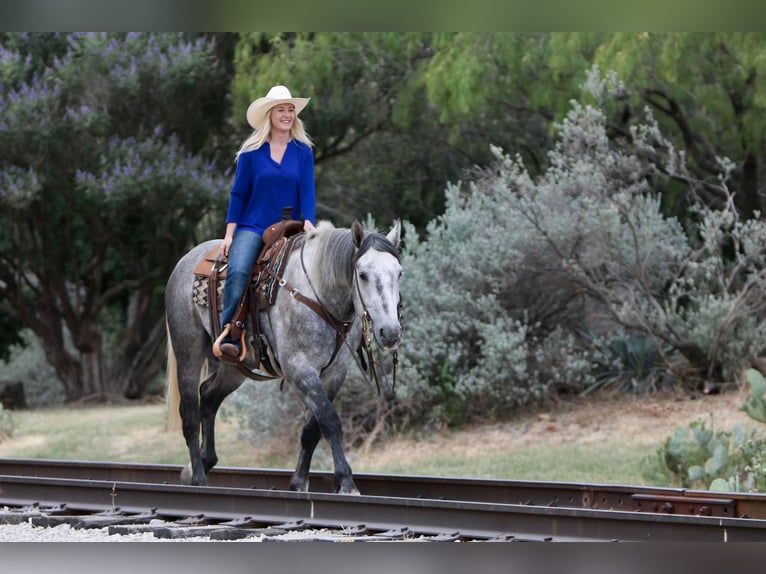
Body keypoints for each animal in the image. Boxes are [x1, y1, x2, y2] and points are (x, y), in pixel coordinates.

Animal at [165, 220, 404, 496]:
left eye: (399, 273)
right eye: (363, 274)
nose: (391, 333)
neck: (316, 292)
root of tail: (186, 260)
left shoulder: (335, 373)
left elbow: (312, 429)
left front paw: (299, 483)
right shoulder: (299, 368)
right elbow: (330, 420)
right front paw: (347, 483)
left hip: (234, 366)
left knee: (209, 395)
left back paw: (202, 463)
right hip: (188, 352)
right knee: (190, 413)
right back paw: (199, 478)